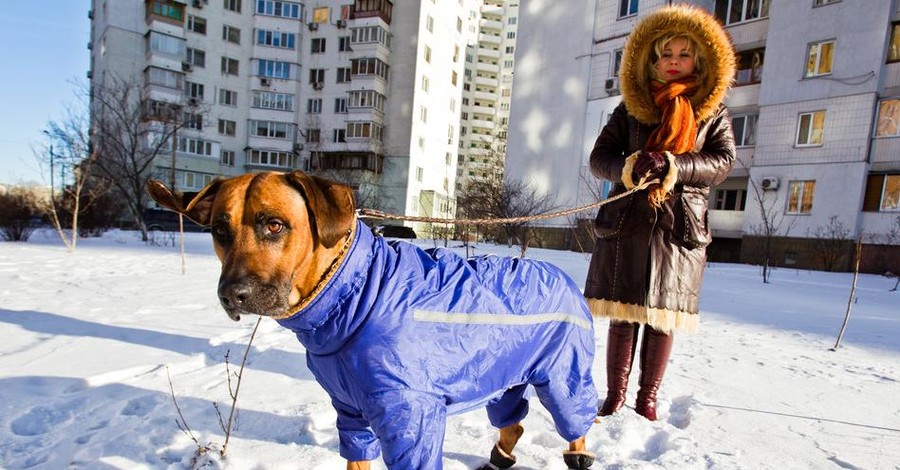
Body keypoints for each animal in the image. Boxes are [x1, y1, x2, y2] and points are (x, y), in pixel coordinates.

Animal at [146, 170, 596, 470]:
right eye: (220, 231)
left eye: (274, 224)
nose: (231, 294)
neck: (357, 291)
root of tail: (561, 275)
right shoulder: (349, 409)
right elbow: (356, 452)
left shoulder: (410, 414)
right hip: (497, 373)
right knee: (511, 419)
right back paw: (501, 455)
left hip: (562, 373)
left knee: (574, 418)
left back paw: (576, 454)